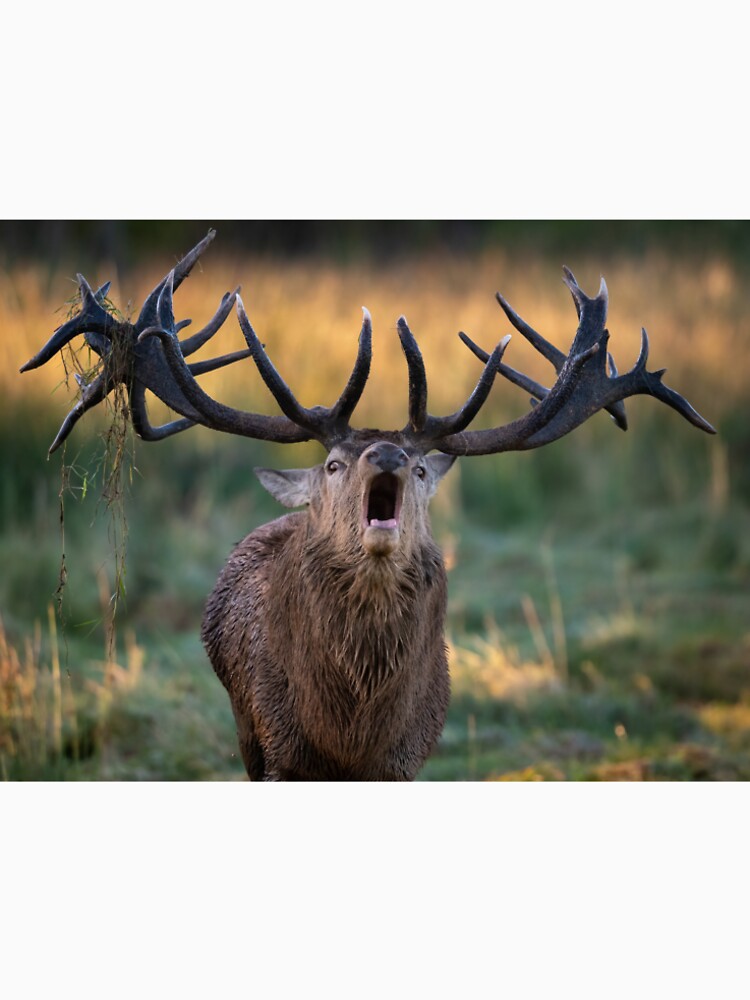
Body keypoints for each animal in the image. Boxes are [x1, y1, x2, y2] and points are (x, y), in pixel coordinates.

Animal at [21, 230, 715, 780]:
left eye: (418, 467)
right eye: (334, 463)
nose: (385, 455)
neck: (351, 728)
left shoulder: (406, 756)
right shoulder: (281, 747)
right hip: (245, 729)